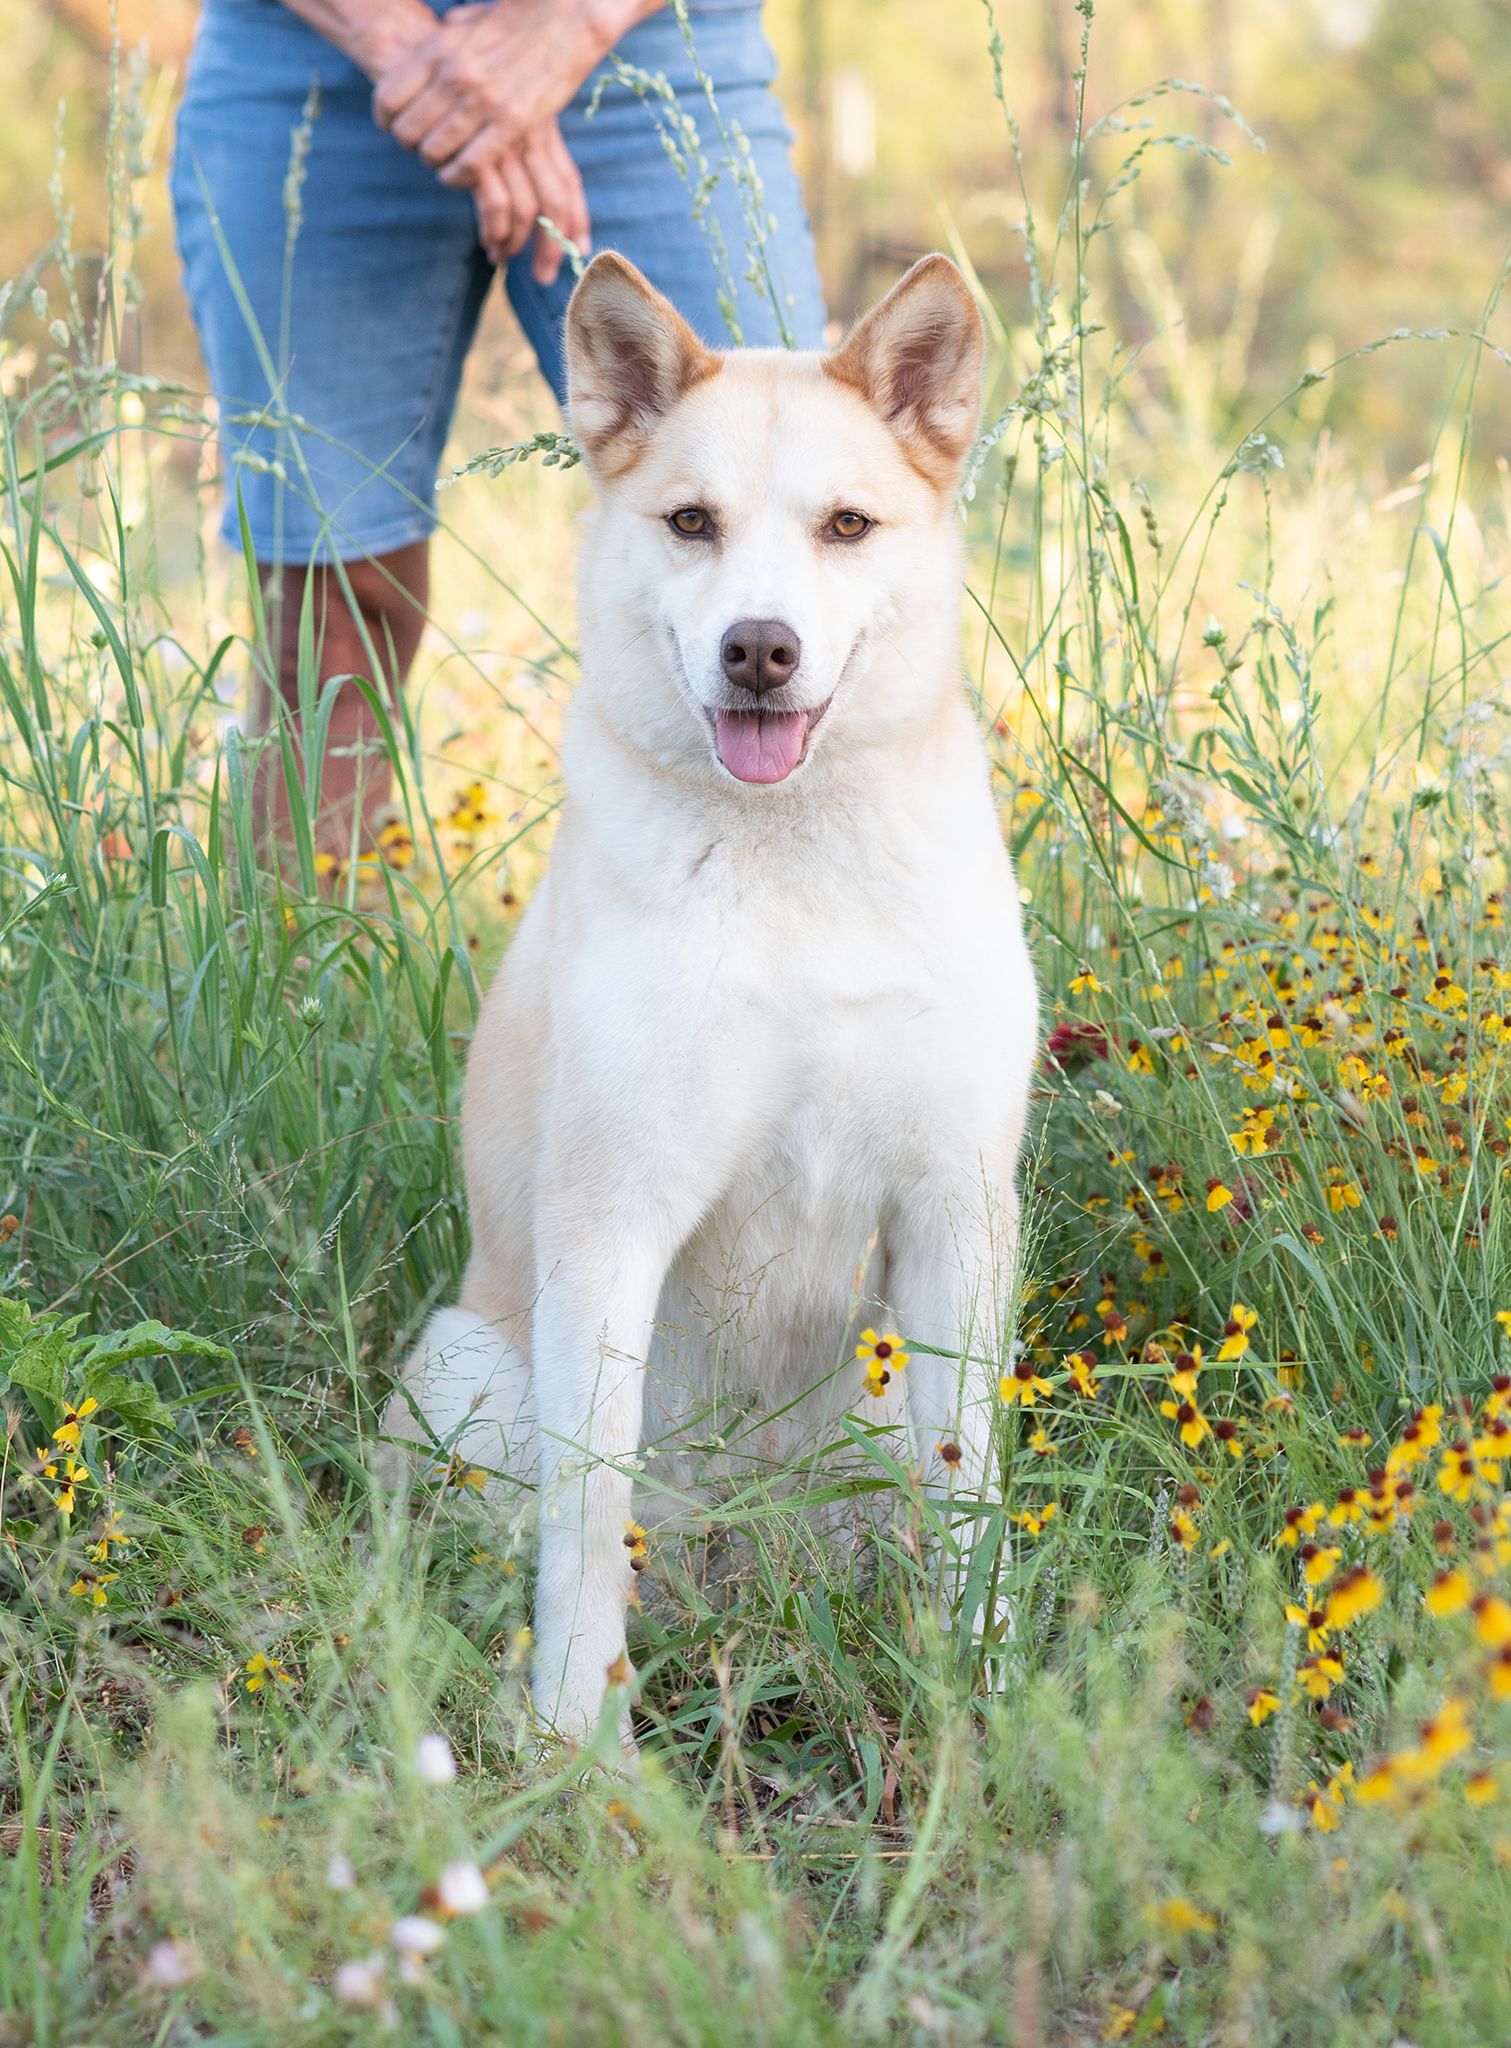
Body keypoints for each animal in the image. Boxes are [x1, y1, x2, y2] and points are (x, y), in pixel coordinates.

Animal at [391, 247, 1035, 1736]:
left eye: (846, 525)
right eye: (691, 521)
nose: (759, 649)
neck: (792, 865)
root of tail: (753, 1553)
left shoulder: (952, 1219)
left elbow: (971, 1500)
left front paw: (984, 1693)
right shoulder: (609, 1222)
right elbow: (584, 1515)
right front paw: (575, 1738)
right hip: (461, 1365)